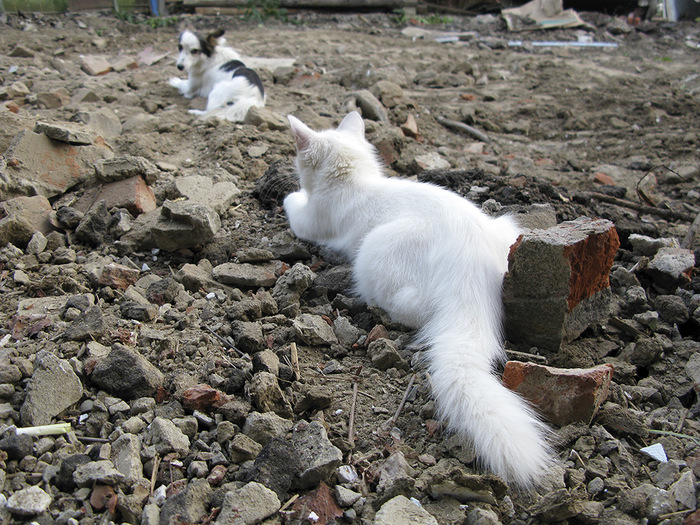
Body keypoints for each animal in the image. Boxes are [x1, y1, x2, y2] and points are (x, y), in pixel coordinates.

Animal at [284, 111, 552, 488]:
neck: (356, 179)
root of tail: (472, 272)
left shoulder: (313, 220)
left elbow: (294, 208)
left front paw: (289, 194)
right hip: (507, 230)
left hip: (374, 252)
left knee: (414, 310)